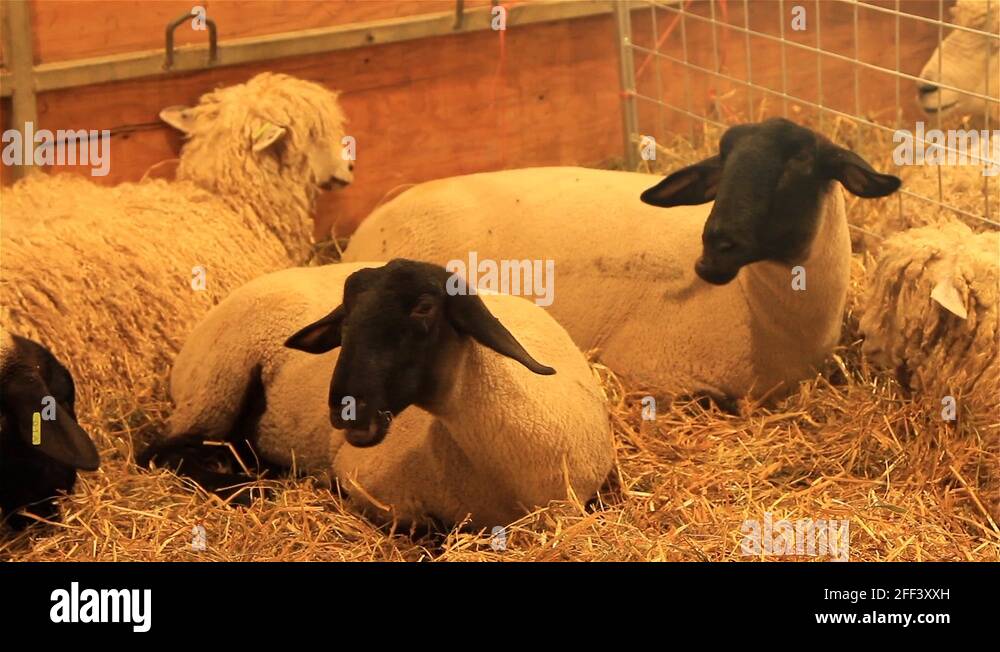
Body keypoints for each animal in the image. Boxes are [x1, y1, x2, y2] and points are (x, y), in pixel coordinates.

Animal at [139, 259, 614, 528]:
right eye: (345, 320)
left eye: (424, 308)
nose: (347, 410)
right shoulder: (367, 483)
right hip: (216, 385)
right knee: (158, 452)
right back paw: (253, 486)